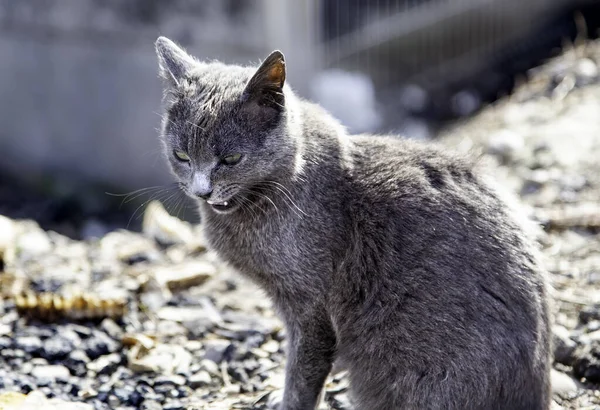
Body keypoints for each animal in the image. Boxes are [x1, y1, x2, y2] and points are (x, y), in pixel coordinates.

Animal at [154, 37, 548, 410]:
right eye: (181, 155)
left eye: (232, 158)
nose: (202, 190)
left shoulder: (309, 306)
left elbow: (302, 372)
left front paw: (286, 402)